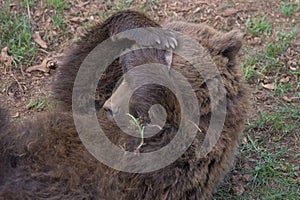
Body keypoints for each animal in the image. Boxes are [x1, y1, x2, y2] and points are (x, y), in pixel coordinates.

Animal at [0, 10, 248, 200]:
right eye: (123, 76)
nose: (110, 108)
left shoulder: (184, 151)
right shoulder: (90, 108)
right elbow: (77, 82)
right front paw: (147, 32)